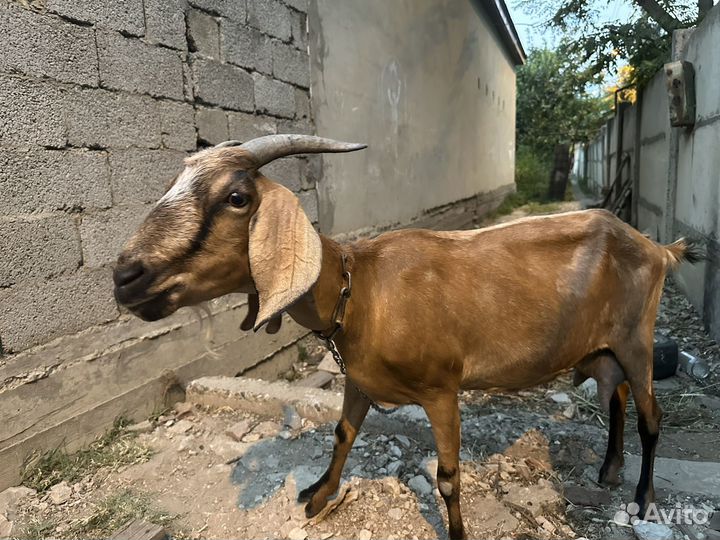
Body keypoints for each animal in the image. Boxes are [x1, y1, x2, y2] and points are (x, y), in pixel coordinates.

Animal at [113, 135, 700, 540]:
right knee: (616, 397)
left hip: (637, 339)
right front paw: (318, 496)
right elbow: (342, 434)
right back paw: (609, 469)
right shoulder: (359, 380)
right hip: (603, 347)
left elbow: (448, 476)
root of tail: (656, 247)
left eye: (236, 196)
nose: (125, 276)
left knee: (652, 414)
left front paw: (458, 533)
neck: (360, 291)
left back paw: (643, 495)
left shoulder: (441, 390)